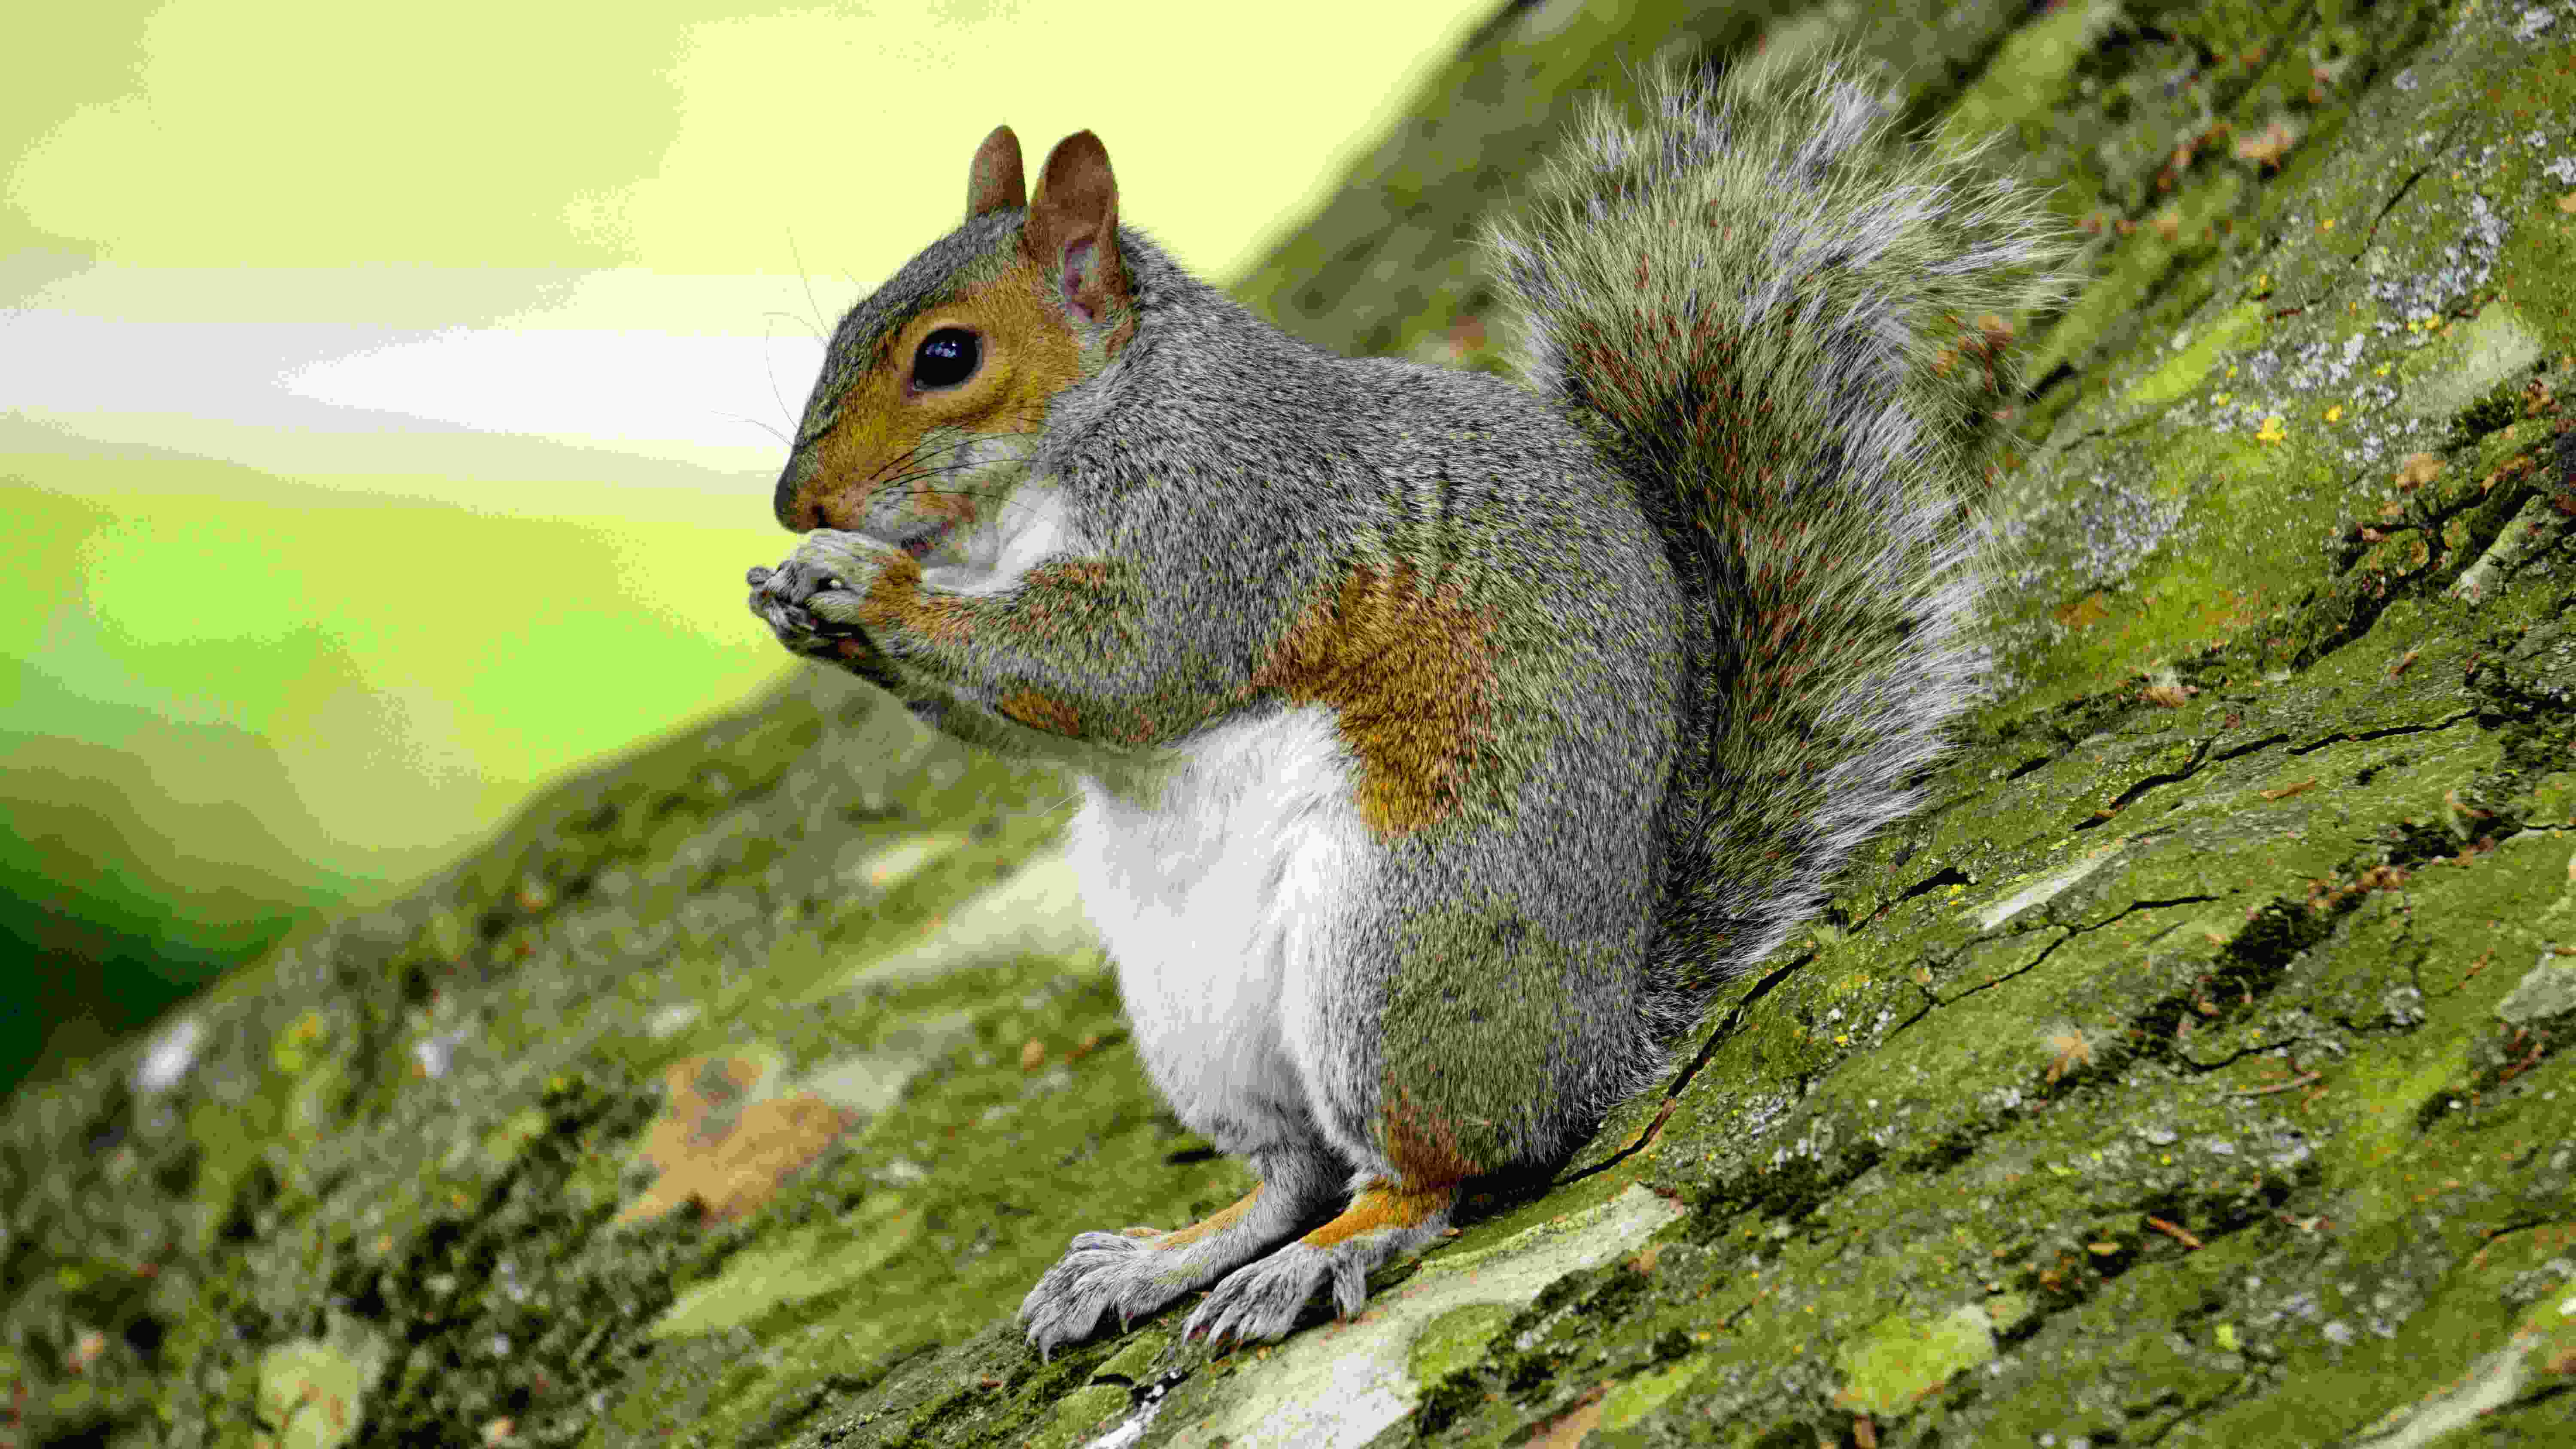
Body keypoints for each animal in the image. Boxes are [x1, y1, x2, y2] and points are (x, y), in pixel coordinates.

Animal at [747, 52, 2067, 1356]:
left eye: (947, 357)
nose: (794, 503)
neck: (1103, 422)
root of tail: (1602, 1043)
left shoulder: (1227, 531)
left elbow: (1116, 664)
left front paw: (869, 583)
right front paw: (806, 598)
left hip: (1393, 952)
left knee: (1423, 1179)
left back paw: (1317, 1261)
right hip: (1197, 1022)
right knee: (1294, 1173)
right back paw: (1160, 1259)